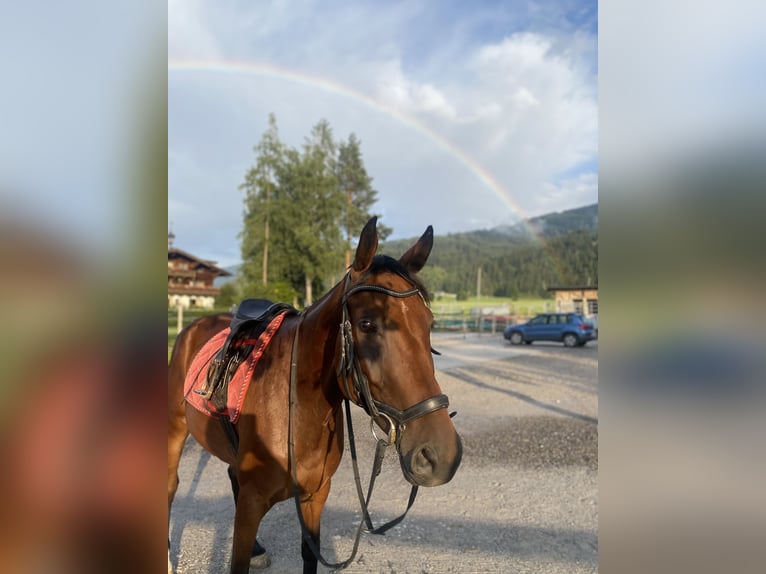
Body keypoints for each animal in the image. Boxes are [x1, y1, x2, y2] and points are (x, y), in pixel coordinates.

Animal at [169, 218, 464, 572]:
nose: (441, 455)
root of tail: (192, 326)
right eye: (367, 324)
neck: (296, 411)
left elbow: (310, 554)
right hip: (173, 434)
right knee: (169, 486)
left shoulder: (315, 496)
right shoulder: (253, 502)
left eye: (429, 323)